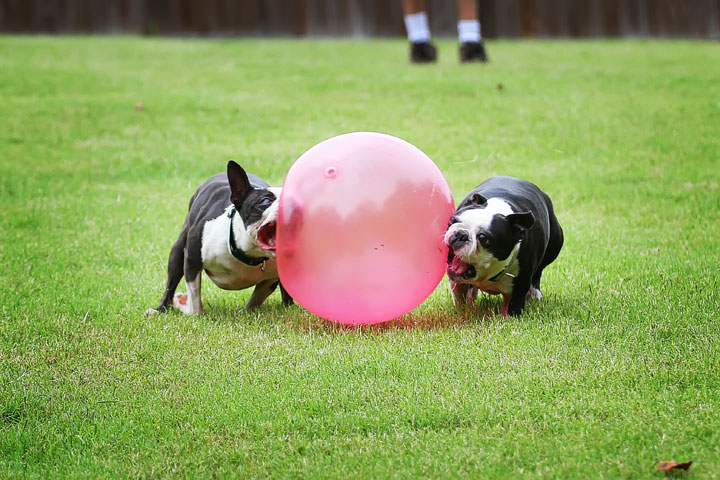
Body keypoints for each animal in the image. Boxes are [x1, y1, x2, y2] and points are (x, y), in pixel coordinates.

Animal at [145, 162, 292, 316]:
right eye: (265, 201)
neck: (249, 255)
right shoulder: (192, 259)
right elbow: (194, 294)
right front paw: (196, 314)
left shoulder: (270, 279)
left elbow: (257, 297)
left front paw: (245, 312)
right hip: (178, 250)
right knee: (171, 282)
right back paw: (160, 309)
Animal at [444, 175, 564, 316]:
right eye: (452, 220)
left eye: (483, 238)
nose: (460, 235)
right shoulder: (457, 281)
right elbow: (459, 294)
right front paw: (463, 311)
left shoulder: (519, 287)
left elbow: (513, 308)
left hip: (556, 242)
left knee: (539, 270)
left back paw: (534, 293)